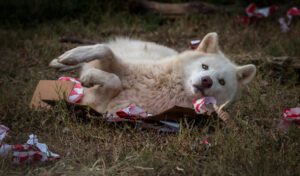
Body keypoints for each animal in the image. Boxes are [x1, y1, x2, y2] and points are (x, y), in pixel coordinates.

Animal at [49, 32, 255, 115]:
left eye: (221, 82)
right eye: (205, 67)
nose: (206, 81)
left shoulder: (100, 106)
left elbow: (114, 81)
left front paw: (88, 78)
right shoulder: (117, 64)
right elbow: (104, 50)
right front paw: (72, 56)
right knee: (100, 50)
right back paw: (60, 62)